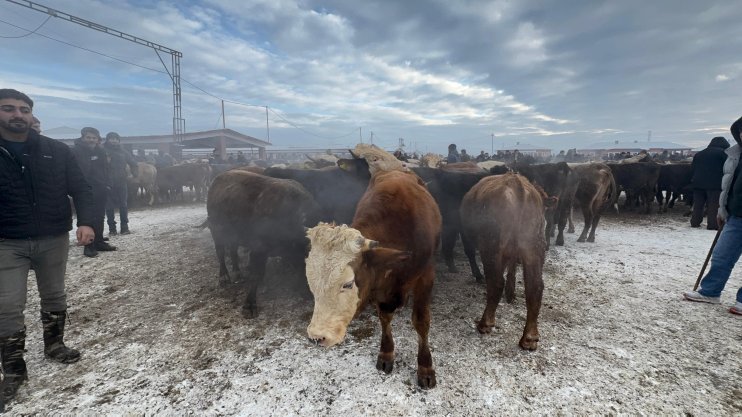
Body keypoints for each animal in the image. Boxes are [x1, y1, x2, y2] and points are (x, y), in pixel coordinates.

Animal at [206, 169, 320, 316]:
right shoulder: (258, 249)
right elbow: (256, 274)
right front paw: (249, 304)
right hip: (217, 231)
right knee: (220, 252)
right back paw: (224, 277)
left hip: (234, 235)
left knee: (233, 251)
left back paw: (237, 273)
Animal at [460, 172, 560, 352]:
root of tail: (516, 183)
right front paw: (511, 293)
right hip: (534, 245)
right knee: (535, 286)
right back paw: (529, 338)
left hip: (491, 245)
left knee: (496, 281)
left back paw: (485, 323)